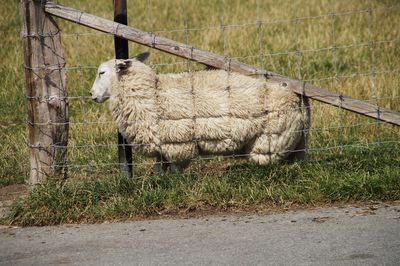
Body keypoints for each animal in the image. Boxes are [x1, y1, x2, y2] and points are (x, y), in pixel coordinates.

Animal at [90, 52, 310, 172]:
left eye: (102, 72)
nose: (91, 95)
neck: (152, 92)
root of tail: (298, 98)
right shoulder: (163, 144)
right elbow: (161, 166)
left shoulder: (178, 142)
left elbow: (176, 169)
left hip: (270, 139)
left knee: (268, 163)